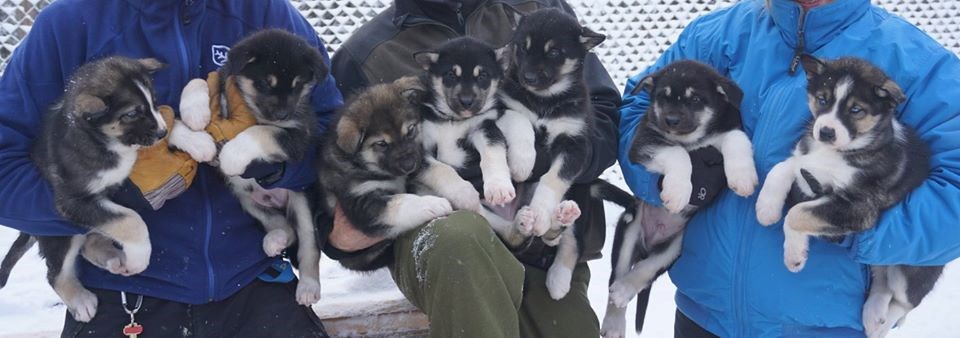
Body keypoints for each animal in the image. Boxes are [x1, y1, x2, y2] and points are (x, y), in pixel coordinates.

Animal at [1, 56, 166, 320]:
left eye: (154, 101)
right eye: (131, 114)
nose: (163, 132)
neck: (99, 139)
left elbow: (118, 220)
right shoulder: (72, 201)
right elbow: (131, 220)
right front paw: (139, 258)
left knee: (88, 243)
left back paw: (112, 258)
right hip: (58, 233)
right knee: (55, 272)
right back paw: (80, 301)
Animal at [179, 28, 326, 304]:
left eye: (298, 85)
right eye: (265, 83)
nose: (281, 115)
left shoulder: (299, 137)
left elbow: (261, 131)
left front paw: (231, 155)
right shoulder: (221, 79)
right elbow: (200, 81)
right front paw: (194, 115)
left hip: (301, 200)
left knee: (308, 245)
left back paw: (308, 286)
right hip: (247, 200)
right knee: (284, 226)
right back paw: (275, 240)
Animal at [316, 77, 456, 272]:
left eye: (410, 130)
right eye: (381, 144)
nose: (409, 165)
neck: (370, 166)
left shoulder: (417, 157)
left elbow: (441, 169)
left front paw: (466, 194)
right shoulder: (360, 202)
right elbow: (399, 201)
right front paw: (432, 204)